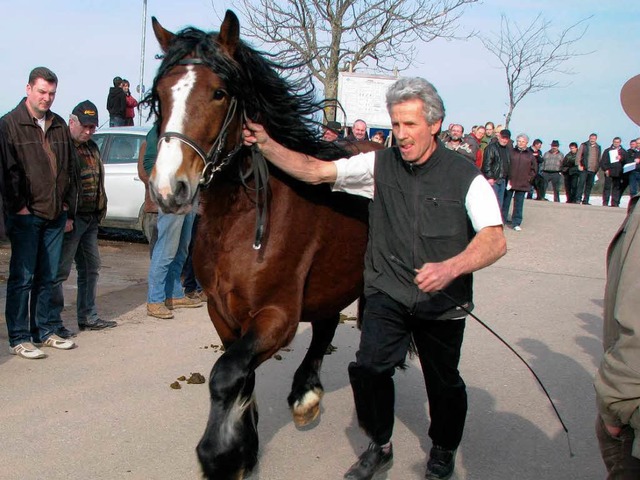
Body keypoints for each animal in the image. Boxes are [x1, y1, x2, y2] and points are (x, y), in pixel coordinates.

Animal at [146, 11, 380, 480]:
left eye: (219, 92)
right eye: (160, 96)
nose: (168, 189)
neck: (238, 222)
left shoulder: (276, 314)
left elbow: (224, 374)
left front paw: (219, 457)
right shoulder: (223, 313)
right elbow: (241, 376)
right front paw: (245, 450)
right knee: (326, 323)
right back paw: (306, 393)